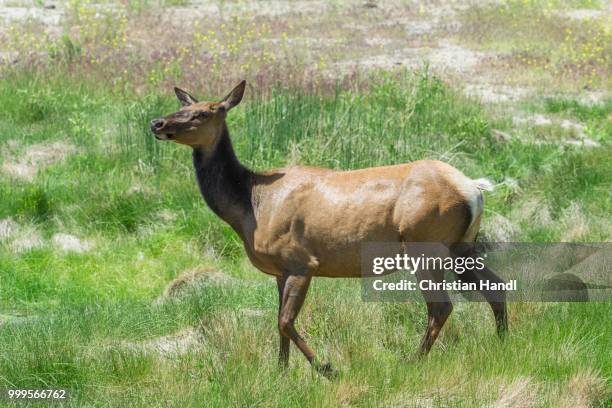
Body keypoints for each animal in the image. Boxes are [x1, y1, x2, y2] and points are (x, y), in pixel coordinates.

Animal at [151, 81, 510, 378]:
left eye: (203, 112)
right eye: (182, 107)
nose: (157, 123)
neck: (251, 206)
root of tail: (474, 189)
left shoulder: (301, 261)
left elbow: (285, 321)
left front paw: (326, 368)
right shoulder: (279, 270)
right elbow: (277, 322)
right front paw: (280, 373)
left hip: (425, 242)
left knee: (441, 306)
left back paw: (413, 361)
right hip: (462, 246)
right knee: (496, 286)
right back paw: (503, 342)